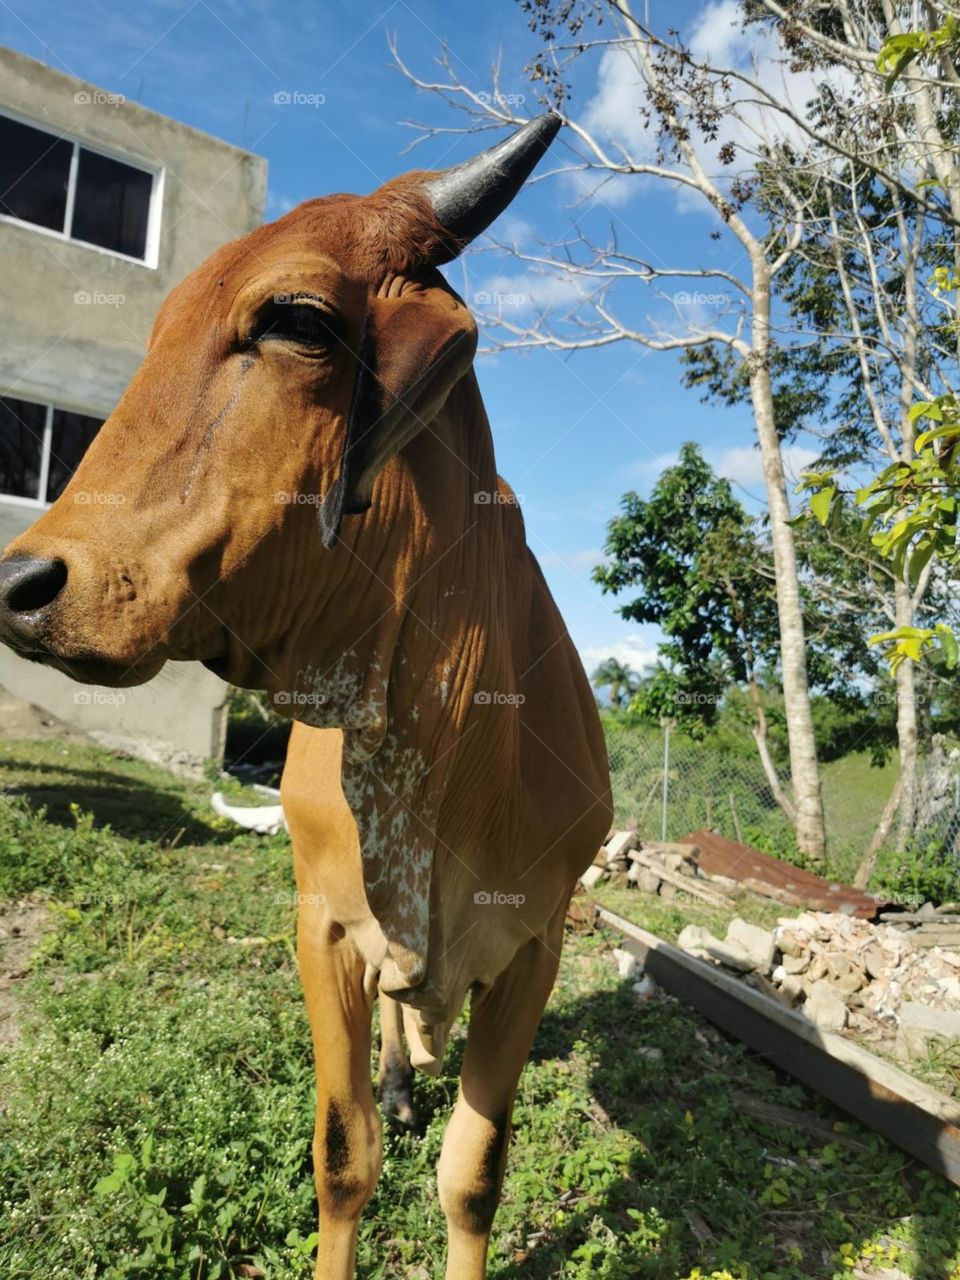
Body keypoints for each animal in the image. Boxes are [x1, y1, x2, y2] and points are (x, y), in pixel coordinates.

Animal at [0, 114, 612, 1279]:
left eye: (296, 318)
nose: (22, 584)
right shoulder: (322, 926)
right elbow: (342, 1154)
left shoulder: (534, 947)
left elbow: (475, 1174)